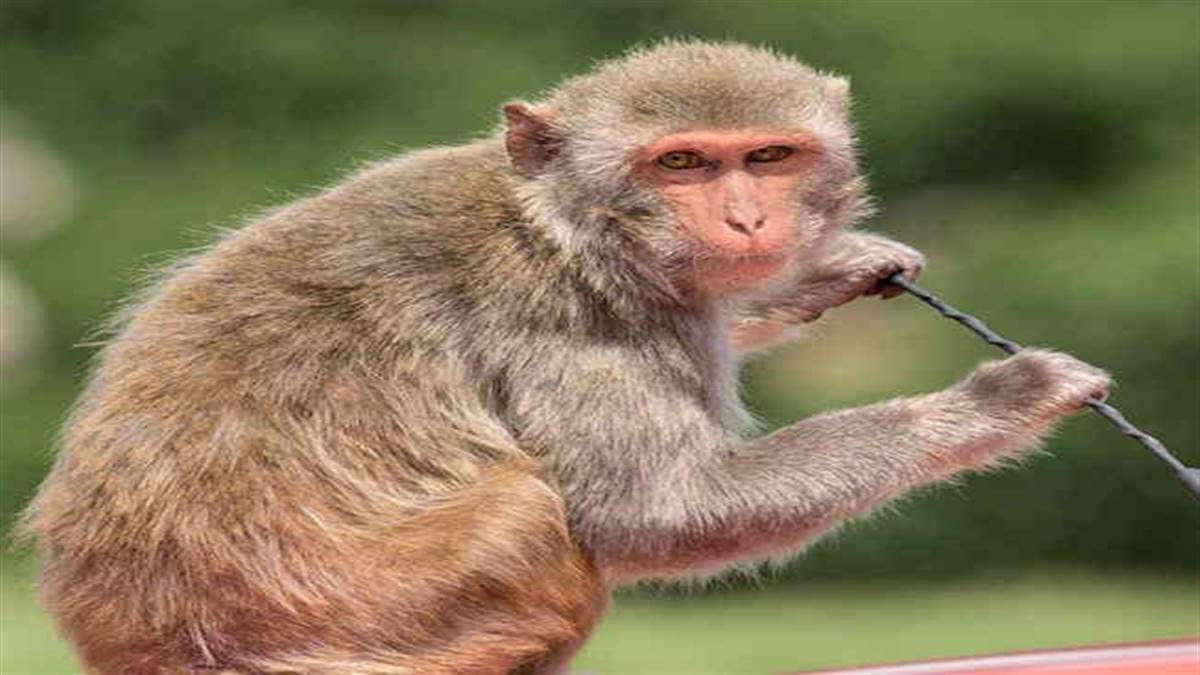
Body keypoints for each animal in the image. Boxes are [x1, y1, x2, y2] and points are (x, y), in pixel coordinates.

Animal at [20, 40, 1110, 674]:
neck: (567, 223)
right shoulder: (576, 331)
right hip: (341, 617)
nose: (747, 219)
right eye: (681, 163)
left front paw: (831, 265)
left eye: (767, 157)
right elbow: (659, 511)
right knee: (526, 509)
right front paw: (990, 403)